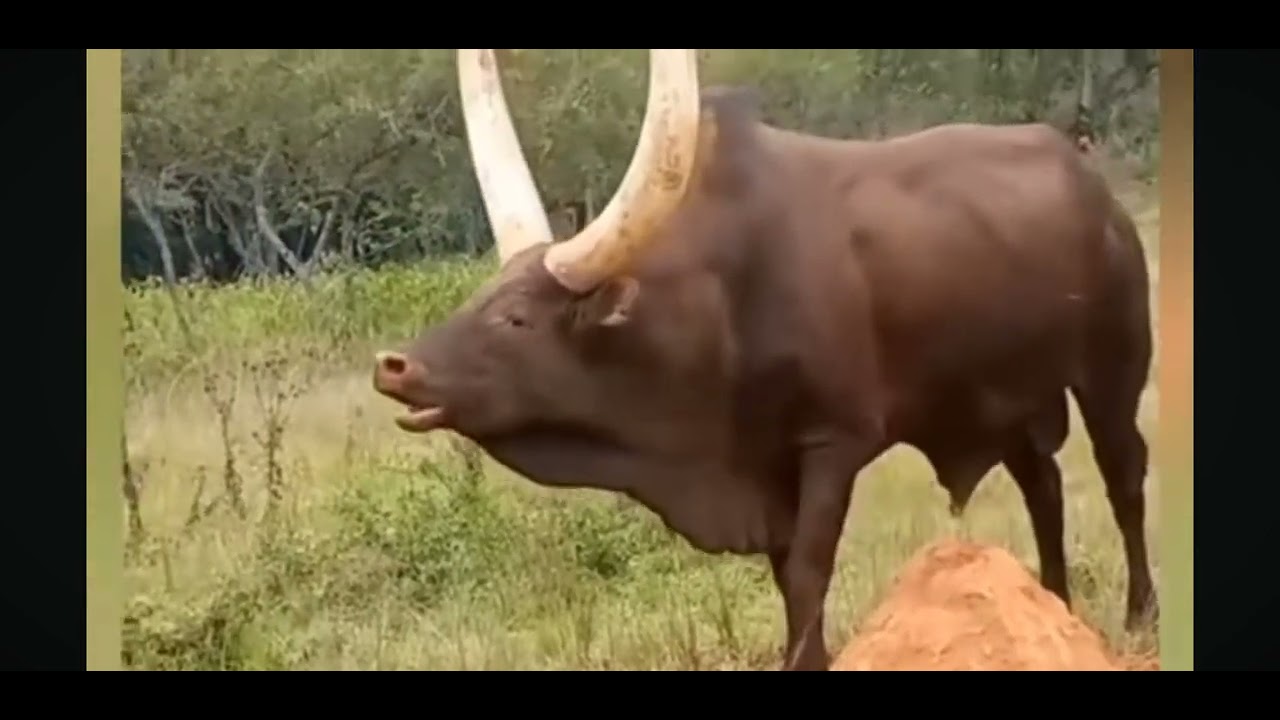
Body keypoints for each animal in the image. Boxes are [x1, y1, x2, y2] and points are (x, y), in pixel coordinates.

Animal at [371, 49, 1156, 671]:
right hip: (1013, 398)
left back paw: (1139, 620)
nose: (395, 365)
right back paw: (1057, 610)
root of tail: (1090, 182)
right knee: (1043, 487)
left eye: (515, 318)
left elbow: (809, 568)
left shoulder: (833, 441)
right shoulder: (764, 466)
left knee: (1123, 478)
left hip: (1112, 372)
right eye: (479, 295)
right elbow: (786, 574)